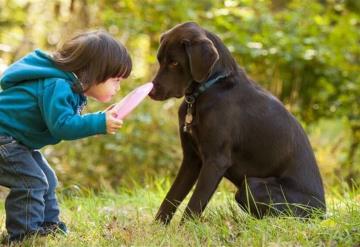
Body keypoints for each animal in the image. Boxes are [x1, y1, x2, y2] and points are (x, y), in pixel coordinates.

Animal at [149, 22, 326, 224]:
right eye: (160, 60)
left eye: (175, 63)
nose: (151, 92)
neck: (210, 88)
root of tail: (323, 212)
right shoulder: (191, 159)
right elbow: (170, 198)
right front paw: (157, 229)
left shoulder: (216, 160)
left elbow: (193, 206)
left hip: (252, 185)